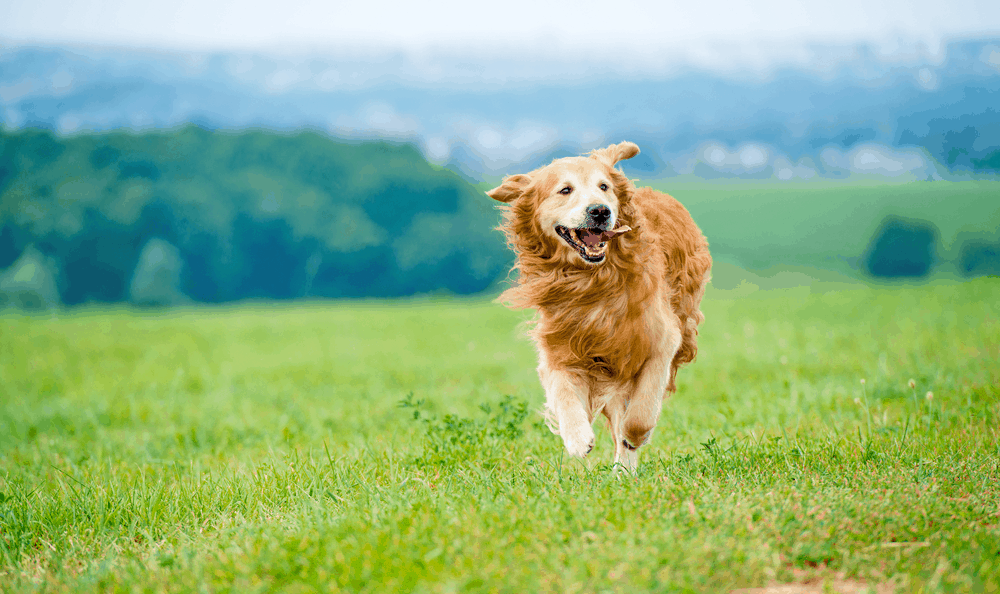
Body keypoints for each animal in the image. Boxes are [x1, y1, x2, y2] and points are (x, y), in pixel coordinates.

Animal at [486, 141, 712, 470]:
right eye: (565, 190)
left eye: (604, 186)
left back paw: (624, 466)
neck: (592, 282)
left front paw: (636, 436)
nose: (600, 211)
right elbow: (563, 392)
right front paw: (577, 438)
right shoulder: (560, 347)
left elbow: (640, 411)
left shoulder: (661, 340)